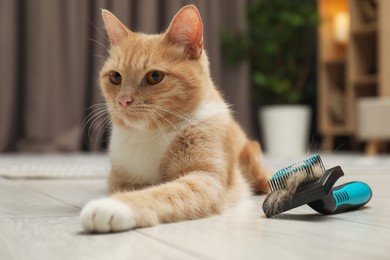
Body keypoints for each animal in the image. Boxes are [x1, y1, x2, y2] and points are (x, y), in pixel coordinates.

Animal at [80, 4, 270, 233]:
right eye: (116, 77)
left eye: (154, 76)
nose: (124, 101)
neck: (150, 134)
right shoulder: (119, 179)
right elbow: (132, 187)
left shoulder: (205, 180)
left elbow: (162, 192)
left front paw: (112, 206)